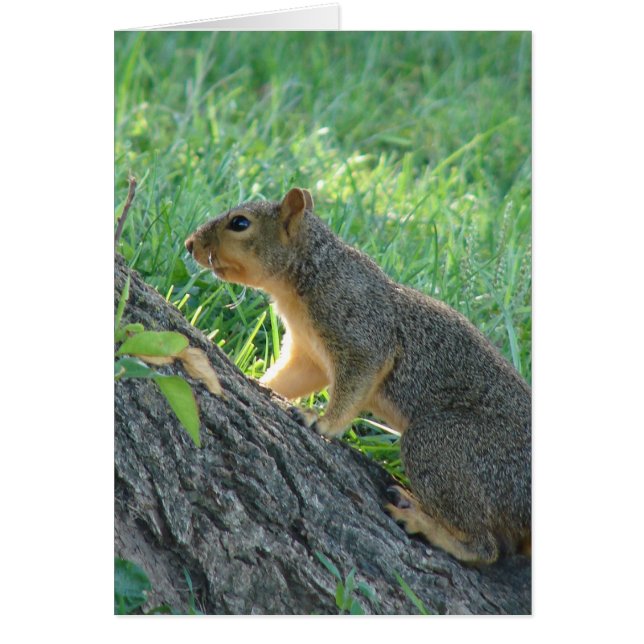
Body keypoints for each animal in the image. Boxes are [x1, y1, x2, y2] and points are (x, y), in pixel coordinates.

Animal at [185, 188, 531, 564]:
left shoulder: (363, 331)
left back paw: (422, 520)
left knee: (486, 548)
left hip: (446, 445)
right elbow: (292, 378)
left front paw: (323, 422)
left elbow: (356, 382)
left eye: (240, 223)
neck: (307, 274)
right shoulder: (309, 354)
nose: (190, 244)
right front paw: (263, 385)